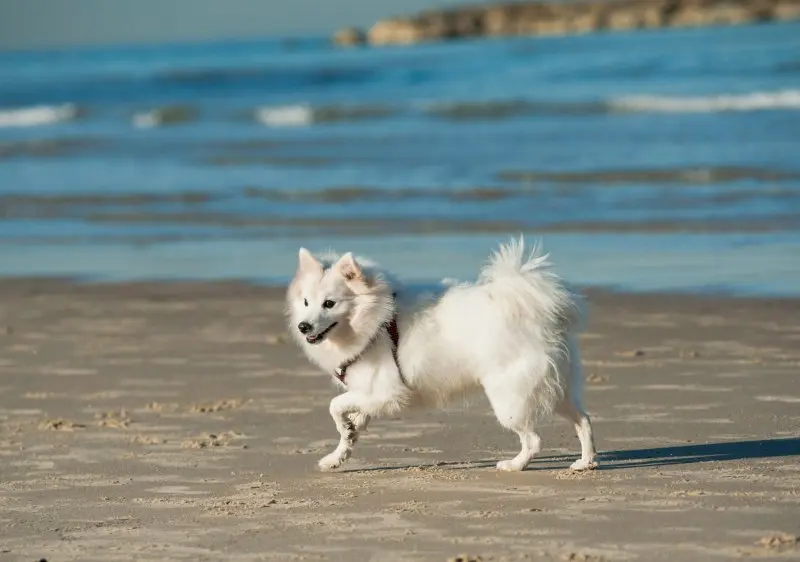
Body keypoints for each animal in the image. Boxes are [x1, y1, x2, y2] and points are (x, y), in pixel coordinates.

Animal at [284, 234, 596, 470]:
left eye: (329, 304)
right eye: (306, 302)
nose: (303, 326)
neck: (375, 321)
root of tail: (534, 309)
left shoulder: (386, 392)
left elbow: (335, 405)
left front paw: (344, 431)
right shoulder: (370, 395)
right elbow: (352, 424)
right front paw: (338, 454)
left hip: (508, 398)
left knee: (533, 440)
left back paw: (513, 465)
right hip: (557, 388)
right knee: (584, 420)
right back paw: (586, 462)